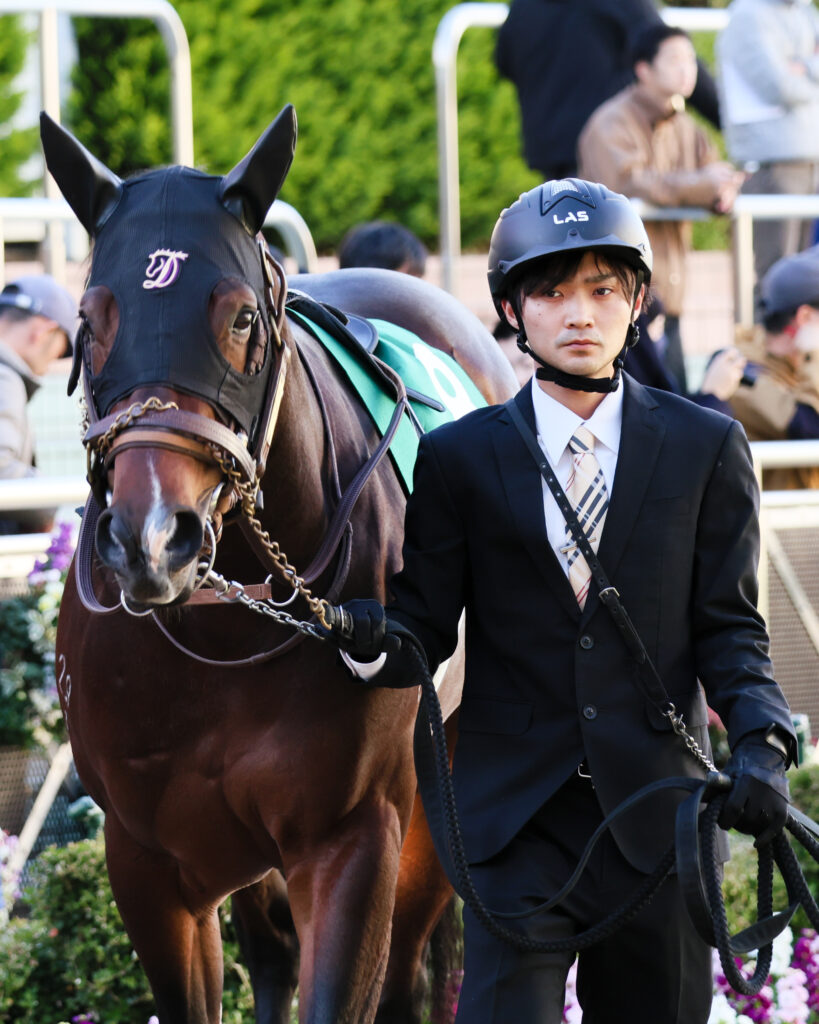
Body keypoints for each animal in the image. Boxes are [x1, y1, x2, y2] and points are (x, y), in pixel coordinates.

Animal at [43, 105, 518, 1024]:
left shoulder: (352, 840)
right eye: (90, 318)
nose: (151, 536)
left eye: (239, 319)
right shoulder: (146, 861)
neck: (222, 636)